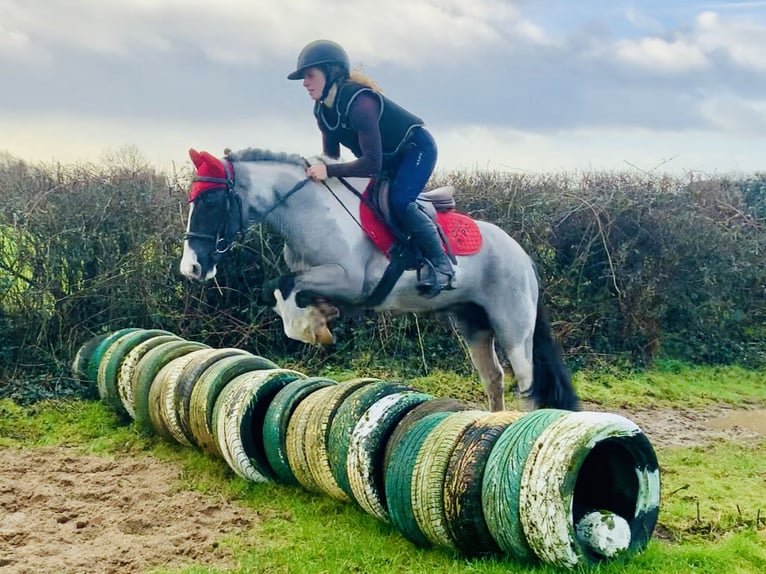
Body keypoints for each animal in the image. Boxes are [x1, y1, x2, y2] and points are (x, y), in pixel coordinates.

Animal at [178, 146, 576, 412]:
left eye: (211, 203)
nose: (191, 268)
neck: (310, 213)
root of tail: (522, 256)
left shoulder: (351, 281)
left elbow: (284, 286)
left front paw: (310, 327)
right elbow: (279, 287)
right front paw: (320, 317)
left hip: (513, 327)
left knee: (527, 383)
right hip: (474, 323)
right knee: (493, 378)